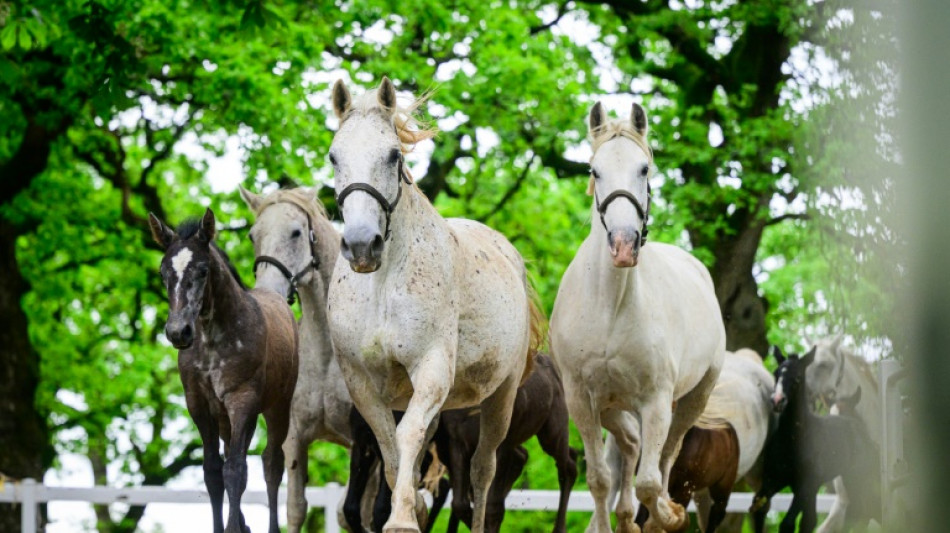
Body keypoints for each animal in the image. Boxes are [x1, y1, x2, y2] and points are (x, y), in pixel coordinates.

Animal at [149, 209, 298, 533]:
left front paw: (233, 528)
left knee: (272, 462)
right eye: (163, 273)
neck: (211, 340)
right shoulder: (199, 405)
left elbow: (236, 470)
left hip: (277, 406)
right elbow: (213, 471)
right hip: (226, 418)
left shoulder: (242, 400)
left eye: (203, 270)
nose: (178, 331)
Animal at [239, 186, 360, 532]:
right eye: (253, 235)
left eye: (295, 232)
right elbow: (295, 508)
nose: (269, 291)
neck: (327, 355)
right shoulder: (294, 439)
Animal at [326, 77, 544, 533]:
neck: (383, 287)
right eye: (334, 155)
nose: (361, 245)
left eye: (392, 155)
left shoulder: (431, 369)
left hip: (500, 398)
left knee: (483, 471)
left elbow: (407, 436)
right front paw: (405, 512)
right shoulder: (362, 385)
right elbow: (392, 455)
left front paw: (401, 520)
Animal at [549, 101, 726, 533]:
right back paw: (626, 518)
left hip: (693, 398)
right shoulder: (581, 398)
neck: (610, 307)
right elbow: (599, 479)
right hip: (612, 405)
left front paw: (668, 517)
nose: (624, 245)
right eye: (594, 170)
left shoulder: (656, 401)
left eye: (644, 169)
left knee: (664, 458)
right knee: (629, 446)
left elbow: (650, 481)